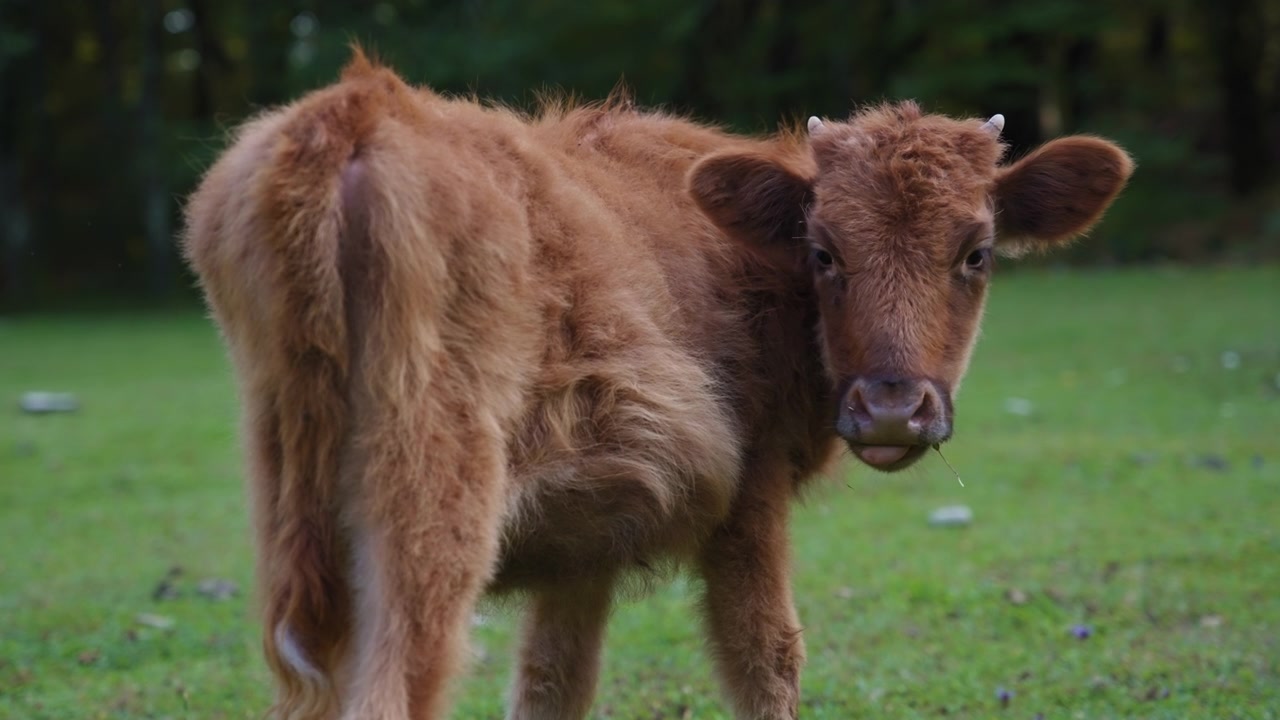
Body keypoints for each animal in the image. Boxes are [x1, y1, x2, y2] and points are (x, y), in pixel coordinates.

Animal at [182, 50, 1132, 720]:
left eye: (976, 252)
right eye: (824, 250)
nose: (893, 406)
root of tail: (350, 115)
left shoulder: (582, 546)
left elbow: (552, 684)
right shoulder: (749, 506)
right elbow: (766, 660)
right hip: (425, 525)